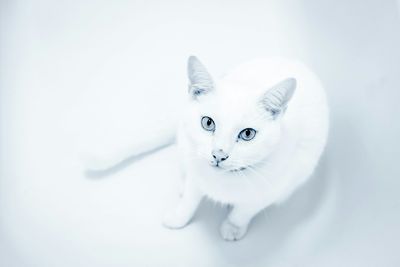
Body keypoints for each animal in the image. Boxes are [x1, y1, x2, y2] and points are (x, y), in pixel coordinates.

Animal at [86, 57, 328, 243]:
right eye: (208, 123)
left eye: (247, 134)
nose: (219, 154)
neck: (222, 181)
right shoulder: (196, 173)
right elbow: (190, 199)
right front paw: (179, 217)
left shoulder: (275, 187)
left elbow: (245, 209)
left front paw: (233, 226)